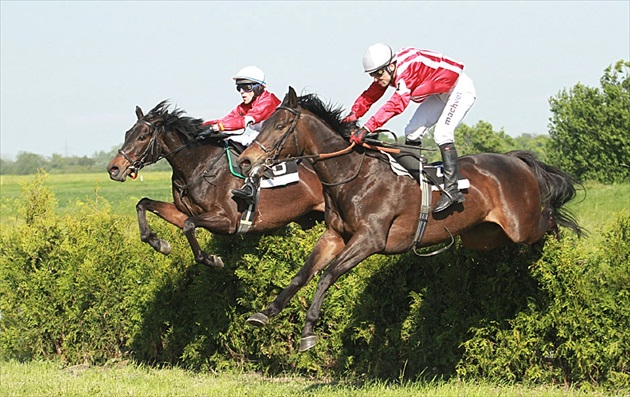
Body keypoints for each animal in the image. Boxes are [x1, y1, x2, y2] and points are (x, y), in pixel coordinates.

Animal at [107, 100, 326, 268]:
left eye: (142, 136)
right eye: (127, 133)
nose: (113, 168)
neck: (199, 166)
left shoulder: (229, 221)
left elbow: (189, 226)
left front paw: (212, 260)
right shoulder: (183, 213)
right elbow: (144, 203)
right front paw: (159, 243)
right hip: (311, 217)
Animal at [239, 86, 584, 350]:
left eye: (280, 127)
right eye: (265, 124)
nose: (246, 160)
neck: (354, 175)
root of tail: (516, 160)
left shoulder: (370, 240)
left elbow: (326, 276)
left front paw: (309, 332)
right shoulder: (335, 236)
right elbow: (302, 274)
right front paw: (265, 313)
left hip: (521, 225)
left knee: (550, 220)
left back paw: (561, 254)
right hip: (484, 235)